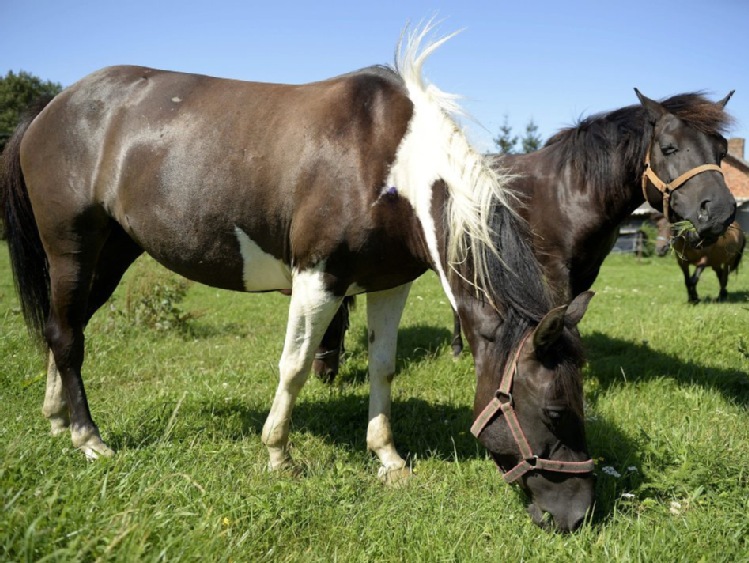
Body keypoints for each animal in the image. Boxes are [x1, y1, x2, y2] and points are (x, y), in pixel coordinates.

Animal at [1, 27, 596, 532]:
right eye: (555, 411)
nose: (578, 515)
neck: (389, 165)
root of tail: (51, 107)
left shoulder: (390, 284)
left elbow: (382, 367)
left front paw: (388, 459)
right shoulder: (317, 279)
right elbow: (295, 367)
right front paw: (278, 454)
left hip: (113, 251)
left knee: (65, 328)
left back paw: (57, 420)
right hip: (71, 248)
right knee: (67, 337)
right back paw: (88, 437)